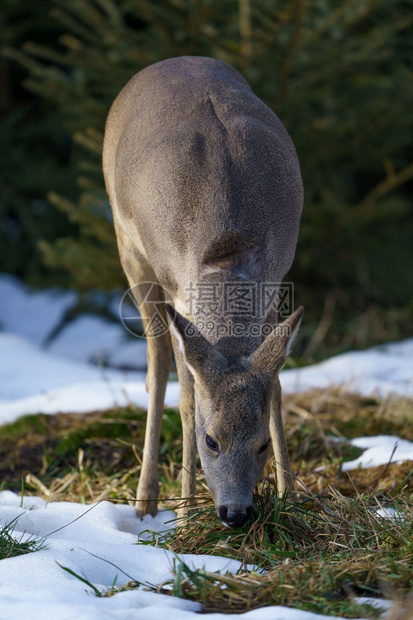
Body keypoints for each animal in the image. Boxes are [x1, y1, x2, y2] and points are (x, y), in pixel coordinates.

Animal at [103, 57, 302, 528]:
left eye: (261, 444)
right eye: (210, 441)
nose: (236, 513)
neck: (226, 252)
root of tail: (172, 61)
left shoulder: (275, 288)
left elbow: (276, 389)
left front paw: (291, 498)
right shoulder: (178, 297)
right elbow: (189, 401)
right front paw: (186, 518)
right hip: (129, 247)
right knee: (157, 366)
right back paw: (146, 500)